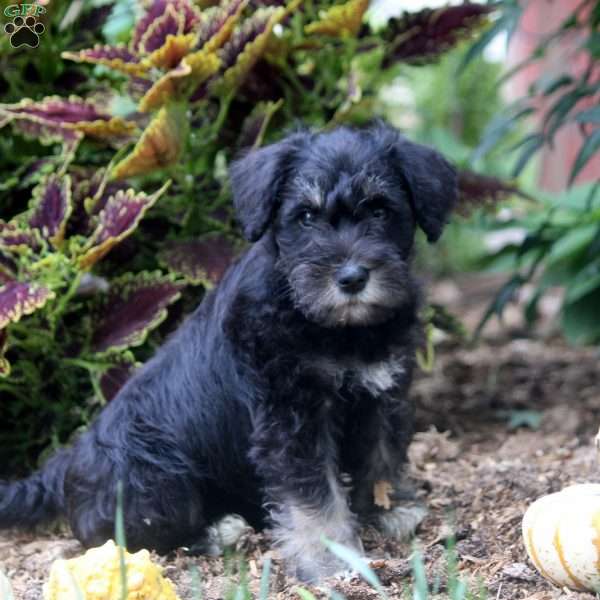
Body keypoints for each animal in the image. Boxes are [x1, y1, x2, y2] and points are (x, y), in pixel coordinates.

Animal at [0, 123, 452, 580]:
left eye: (380, 211)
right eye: (306, 216)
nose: (352, 277)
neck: (336, 328)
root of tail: (65, 466)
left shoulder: (381, 391)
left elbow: (381, 455)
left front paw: (389, 509)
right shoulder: (292, 418)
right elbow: (313, 494)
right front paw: (330, 557)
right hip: (156, 480)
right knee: (121, 534)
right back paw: (219, 531)